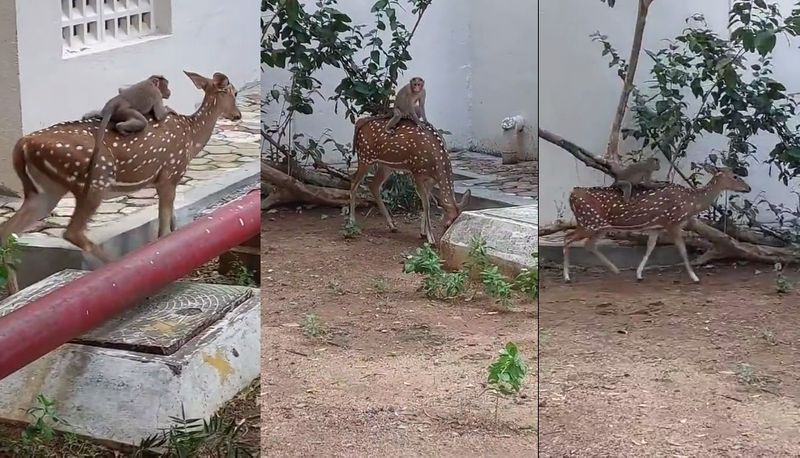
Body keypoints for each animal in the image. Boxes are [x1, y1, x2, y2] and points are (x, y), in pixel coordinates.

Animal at [1, 71, 242, 264]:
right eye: (234, 92)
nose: (237, 115)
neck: (192, 137)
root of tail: (23, 144)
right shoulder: (170, 173)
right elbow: (164, 231)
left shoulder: (167, 180)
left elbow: (173, 224)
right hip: (94, 179)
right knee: (72, 232)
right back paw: (116, 265)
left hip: (45, 190)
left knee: (7, 231)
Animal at [564, 165, 752, 282]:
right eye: (735, 176)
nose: (748, 188)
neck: (691, 203)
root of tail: (572, 195)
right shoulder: (673, 222)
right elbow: (682, 250)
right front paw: (695, 277)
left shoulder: (657, 226)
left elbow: (650, 247)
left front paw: (639, 274)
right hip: (589, 222)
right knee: (568, 238)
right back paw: (567, 277)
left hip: (599, 226)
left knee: (588, 244)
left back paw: (615, 269)